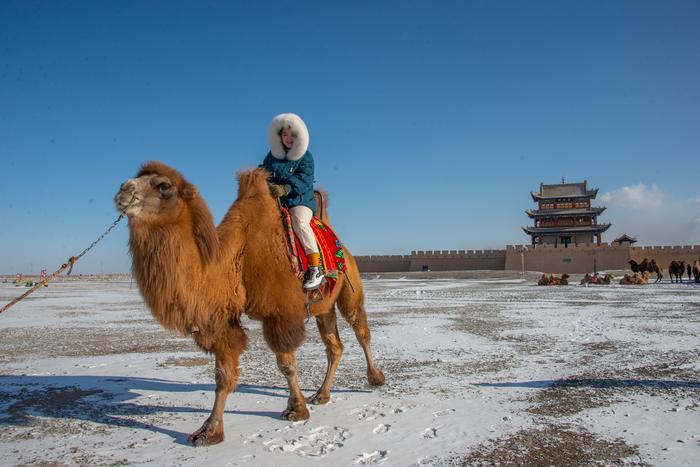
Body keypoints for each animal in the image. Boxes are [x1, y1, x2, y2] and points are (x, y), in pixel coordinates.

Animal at [116, 163, 388, 448]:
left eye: (163, 186)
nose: (124, 190)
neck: (237, 256)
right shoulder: (223, 319)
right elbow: (222, 374)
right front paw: (209, 431)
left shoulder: (279, 313)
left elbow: (286, 365)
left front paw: (296, 409)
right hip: (324, 306)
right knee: (334, 346)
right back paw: (322, 394)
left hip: (350, 287)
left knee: (361, 330)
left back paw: (376, 378)